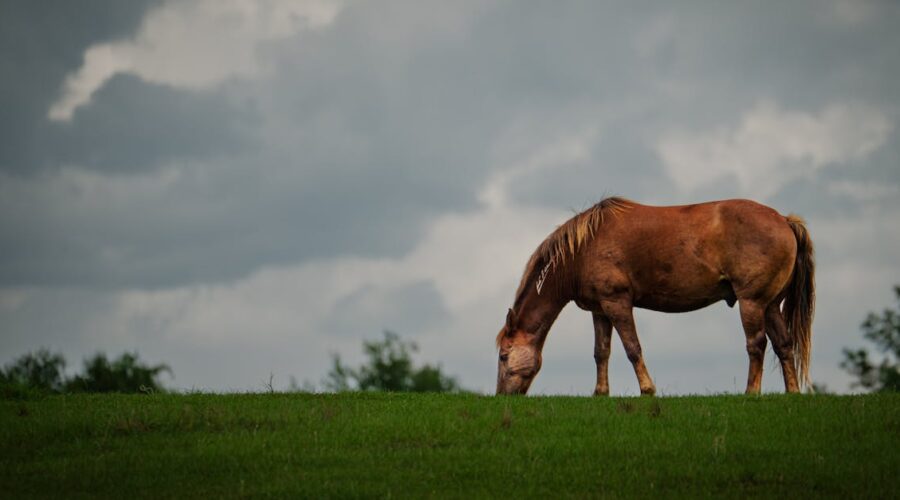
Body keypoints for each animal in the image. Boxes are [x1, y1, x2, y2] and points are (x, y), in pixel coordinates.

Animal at [495, 197, 814, 396]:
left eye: (503, 355)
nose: (501, 396)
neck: (582, 251)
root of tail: (784, 220)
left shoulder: (617, 303)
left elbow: (632, 348)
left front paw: (647, 389)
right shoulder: (600, 310)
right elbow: (601, 352)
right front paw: (600, 393)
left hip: (752, 303)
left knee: (756, 344)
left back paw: (751, 392)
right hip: (770, 305)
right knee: (783, 344)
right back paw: (792, 393)